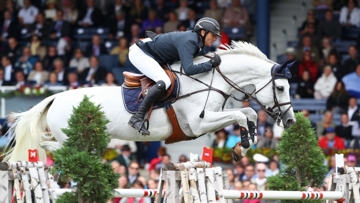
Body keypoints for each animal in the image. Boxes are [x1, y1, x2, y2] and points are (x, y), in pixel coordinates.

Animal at [2, 42, 296, 163]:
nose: (291, 121)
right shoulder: (199, 124)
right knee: (53, 146)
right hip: (69, 136)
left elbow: (248, 113)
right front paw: (243, 145)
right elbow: (240, 115)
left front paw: (243, 146)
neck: (210, 79)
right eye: (281, 87)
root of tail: (54, 97)